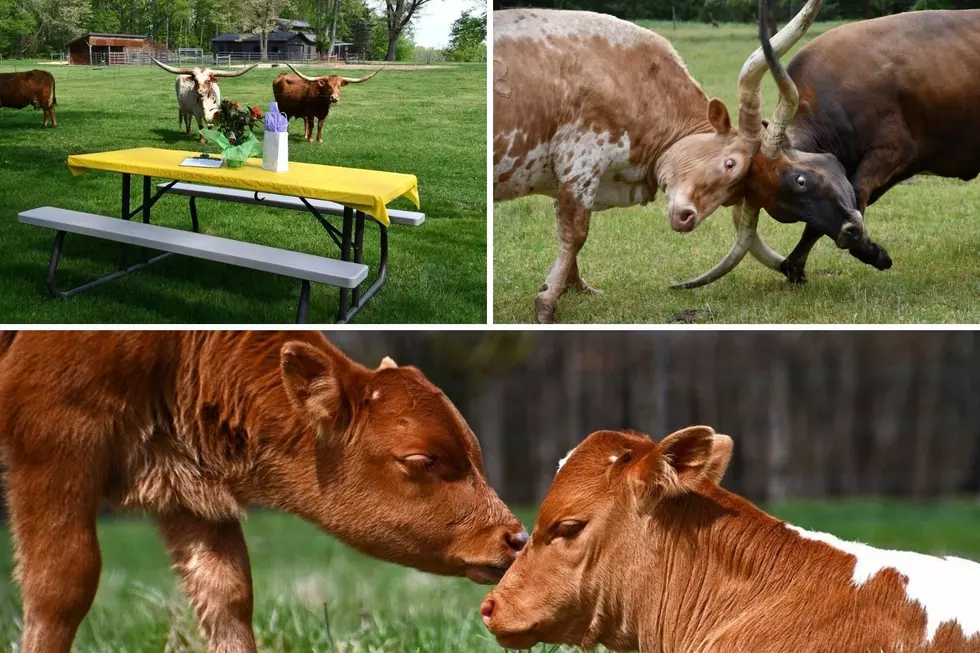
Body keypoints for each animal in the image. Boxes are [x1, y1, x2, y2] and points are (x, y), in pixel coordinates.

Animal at [0, 332, 528, 652]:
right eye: (420, 460)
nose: (516, 538)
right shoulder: (52, 440)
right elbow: (62, 583)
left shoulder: (190, 491)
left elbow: (227, 593)